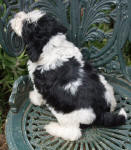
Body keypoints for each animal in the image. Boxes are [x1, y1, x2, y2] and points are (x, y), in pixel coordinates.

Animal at [10, 9, 127, 141]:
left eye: (25, 25)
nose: (16, 14)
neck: (51, 45)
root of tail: (100, 112)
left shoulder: (38, 82)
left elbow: (38, 94)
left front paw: (34, 98)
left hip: (67, 116)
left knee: (73, 133)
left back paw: (52, 128)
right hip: (107, 88)